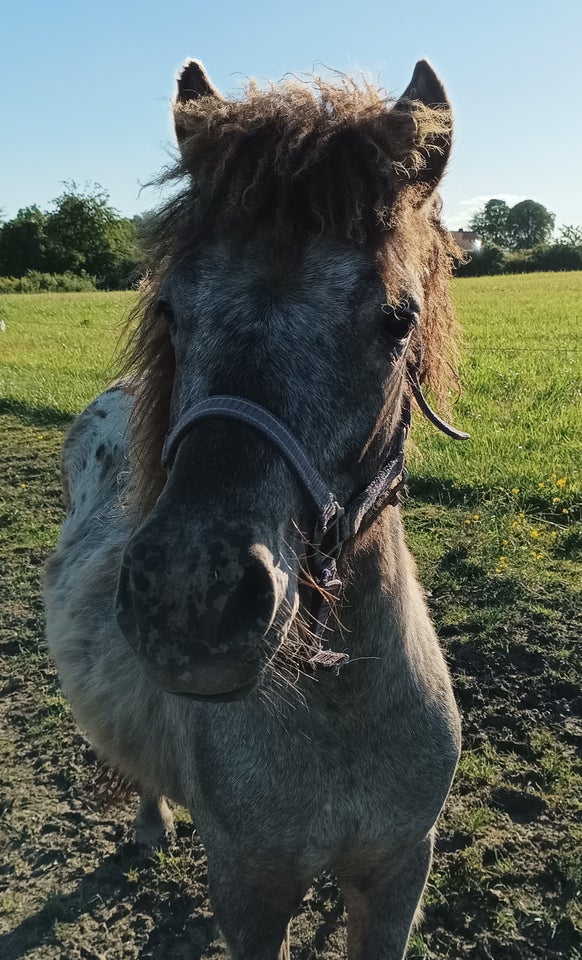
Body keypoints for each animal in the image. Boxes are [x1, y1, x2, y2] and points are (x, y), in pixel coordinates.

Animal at [44, 60, 466, 960]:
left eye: (398, 320)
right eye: (170, 308)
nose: (188, 600)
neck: (341, 719)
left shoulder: (398, 875)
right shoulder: (249, 889)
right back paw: (151, 825)